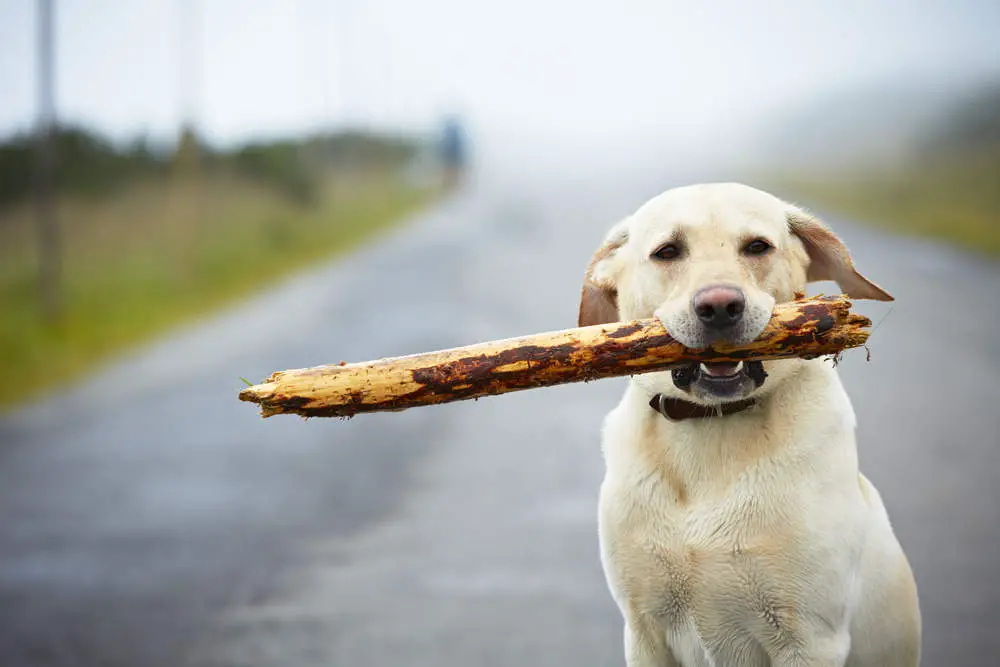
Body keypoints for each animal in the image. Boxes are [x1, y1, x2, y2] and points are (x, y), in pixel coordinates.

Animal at [584, 183, 916, 667]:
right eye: (667, 252)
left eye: (758, 247)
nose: (720, 307)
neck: (712, 428)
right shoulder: (645, 630)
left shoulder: (808, 640)